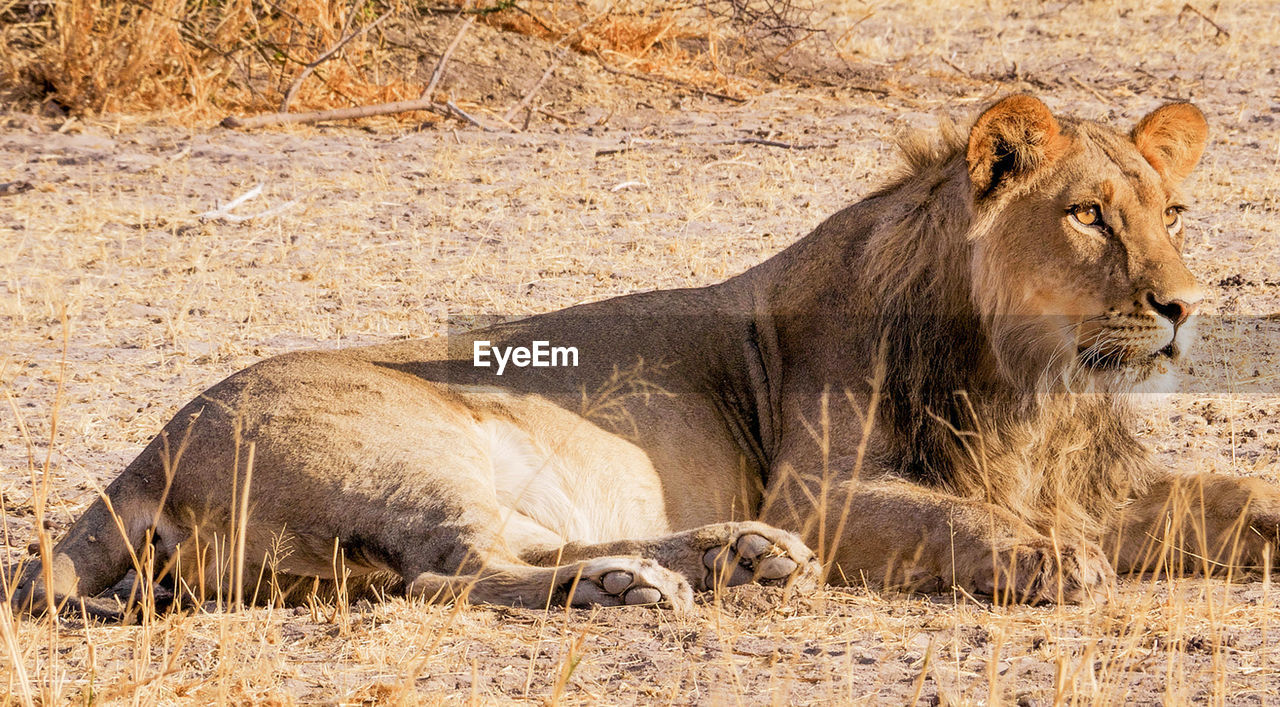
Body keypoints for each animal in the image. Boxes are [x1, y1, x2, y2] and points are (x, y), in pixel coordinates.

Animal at [12, 94, 1280, 619]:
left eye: (1172, 211)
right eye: (1086, 217)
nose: (1179, 307)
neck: (1036, 387)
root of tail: (144, 451)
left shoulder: (1090, 480)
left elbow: (1227, 493)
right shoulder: (822, 490)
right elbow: (958, 516)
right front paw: (1045, 560)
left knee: (510, 548)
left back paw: (726, 558)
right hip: (412, 450)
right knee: (450, 572)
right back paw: (647, 585)